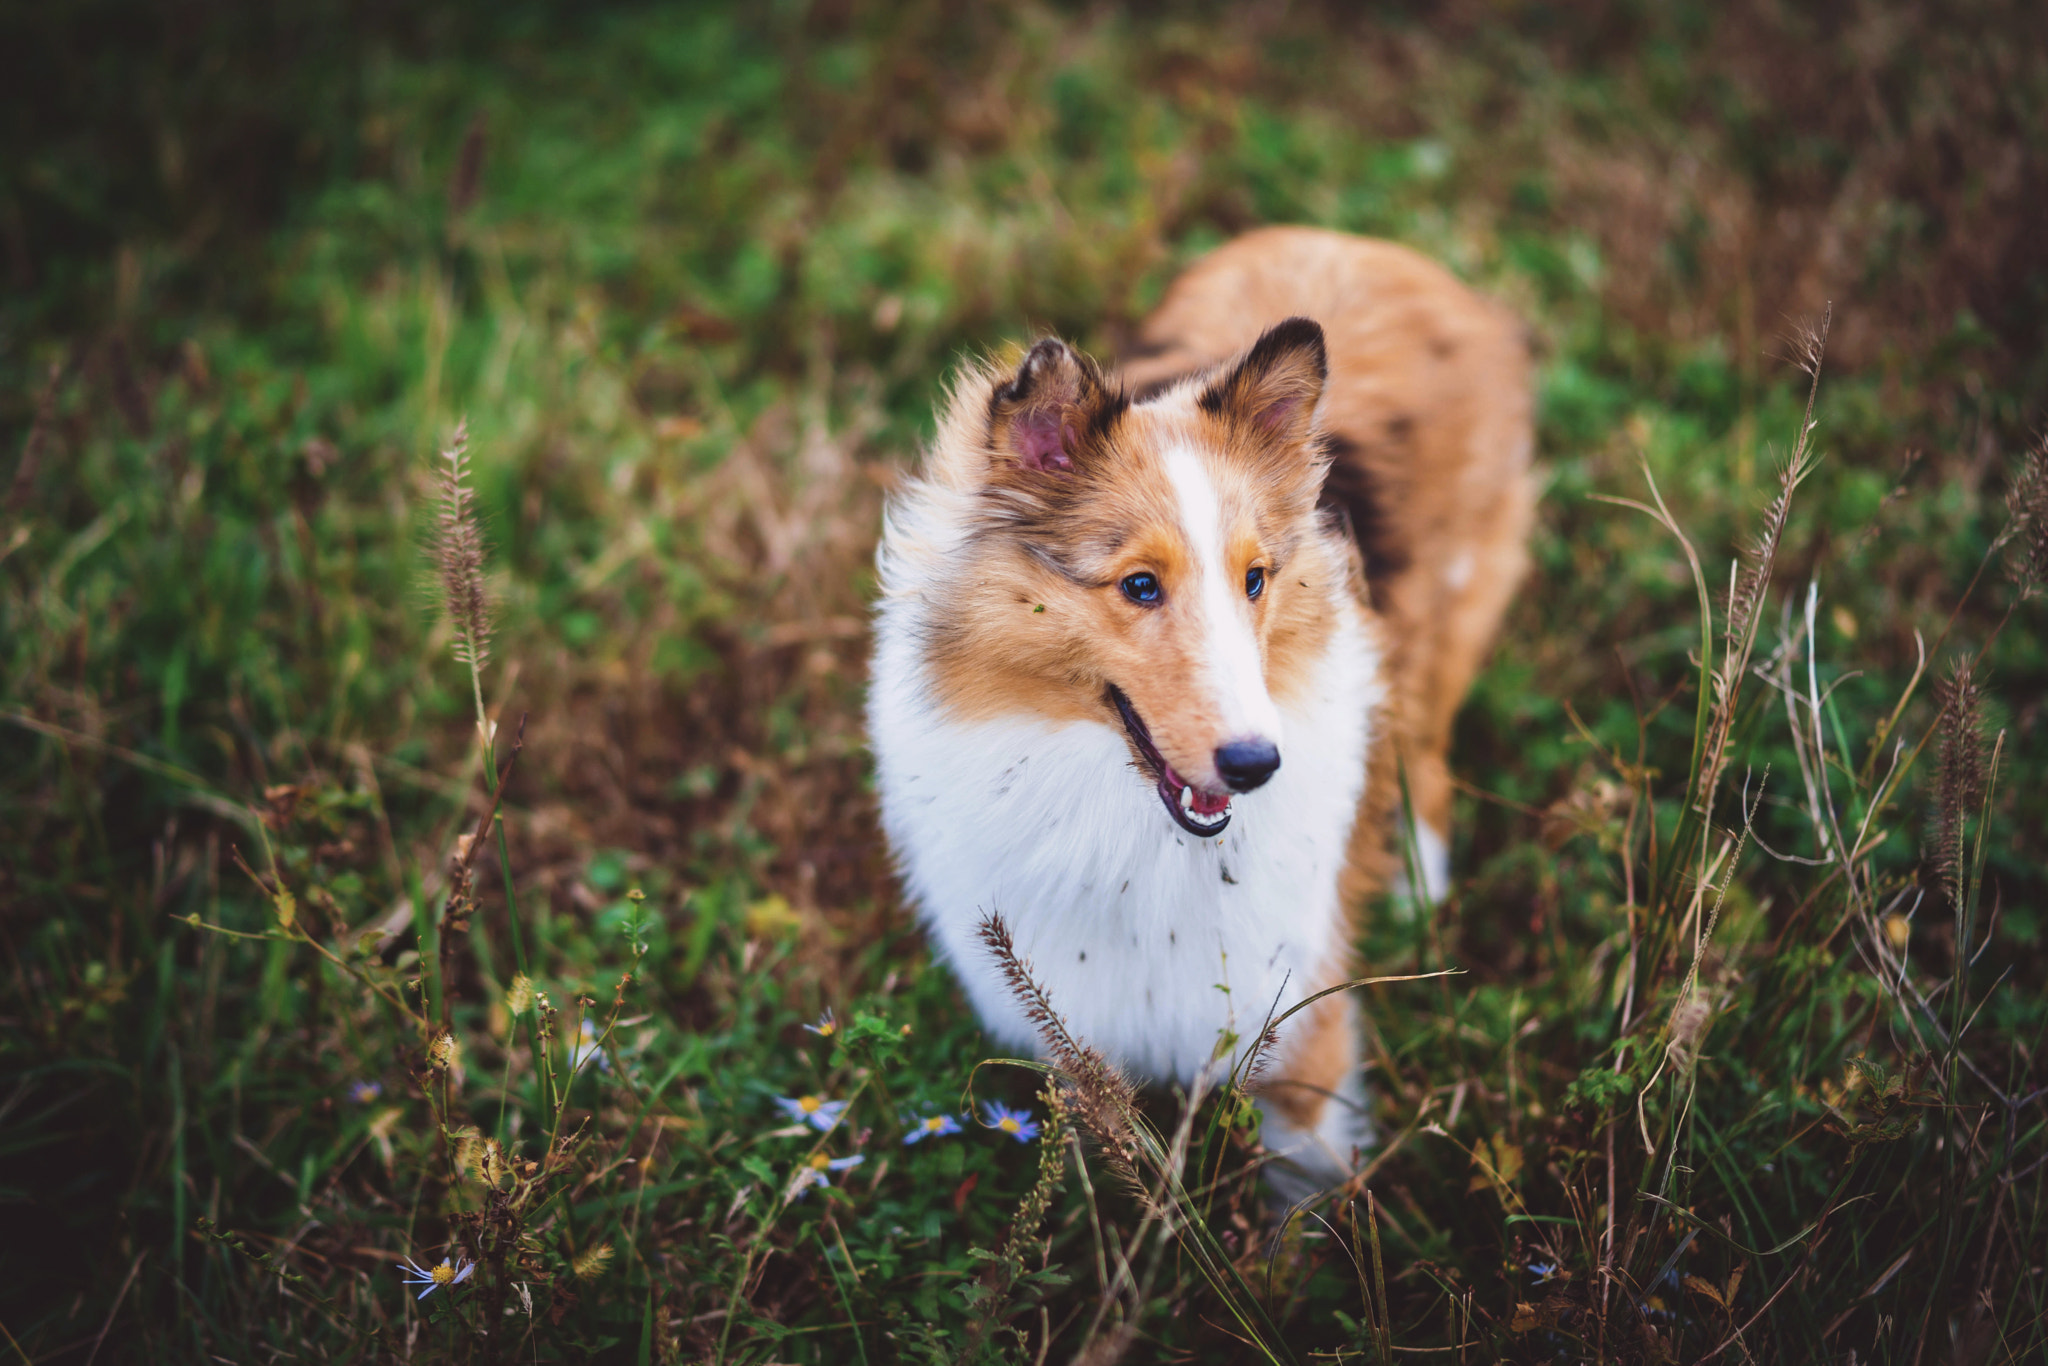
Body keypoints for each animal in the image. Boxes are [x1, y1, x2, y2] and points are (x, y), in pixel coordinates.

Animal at [868, 229, 1540, 1187]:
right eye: (1139, 585)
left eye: (1255, 579)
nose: (1257, 767)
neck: (1130, 831)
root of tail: (1367, 246)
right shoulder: (1076, 1045)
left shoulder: (1298, 1029)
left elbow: (1308, 1189)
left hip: (1453, 618)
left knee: (1428, 756)